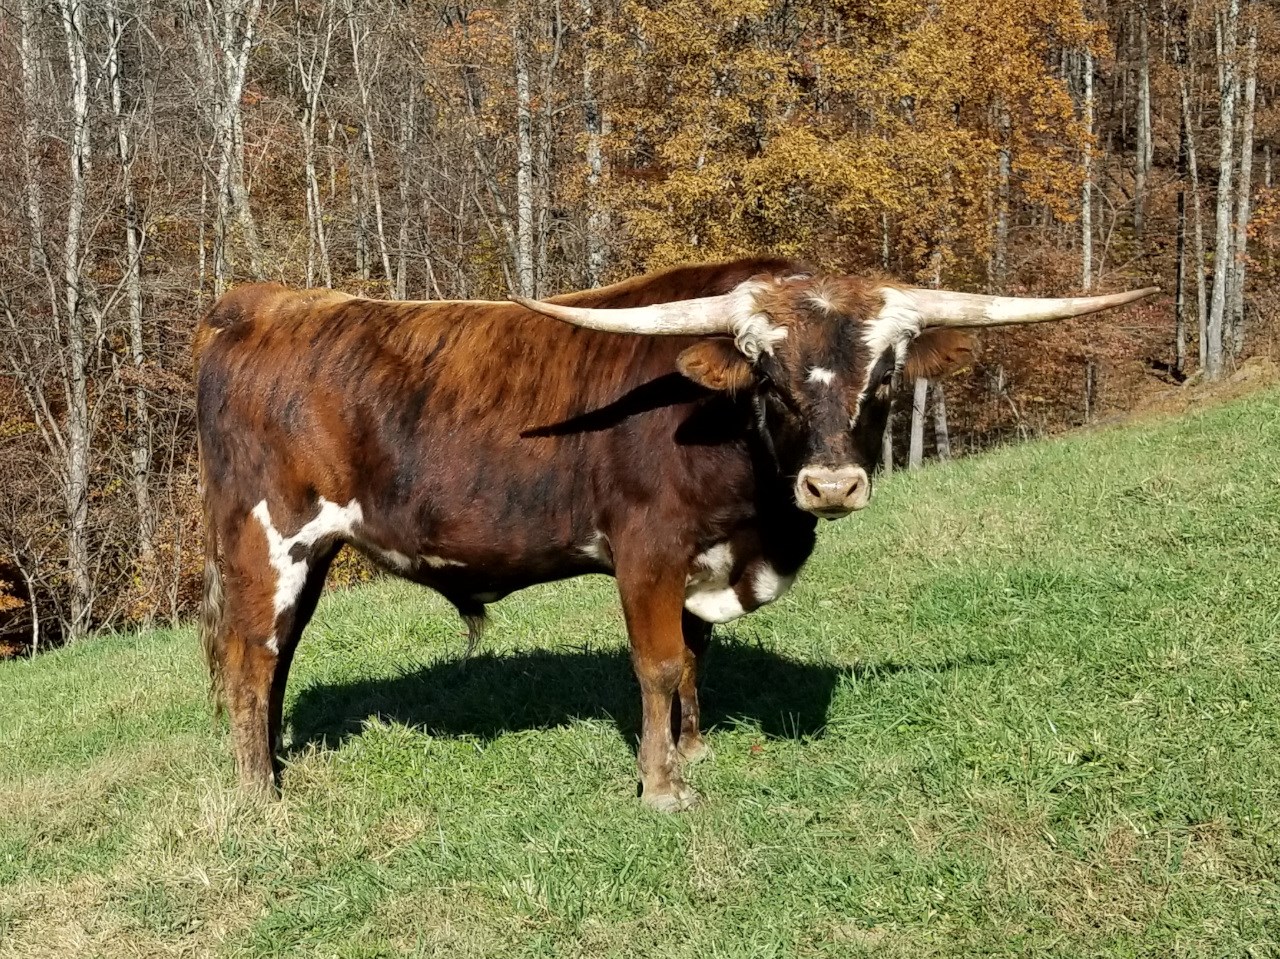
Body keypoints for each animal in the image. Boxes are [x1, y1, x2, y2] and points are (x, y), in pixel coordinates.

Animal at [195, 258, 1155, 811]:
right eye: (766, 374)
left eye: (882, 376)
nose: (833, 484)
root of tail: (260, 303)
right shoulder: (646, 552)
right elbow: (658, 665)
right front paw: (663, 787)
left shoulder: (705, 559)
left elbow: (695, 658)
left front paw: (696, 747)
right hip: (267, 542)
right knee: (249, 660)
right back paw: (258, 797)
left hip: (307, 556)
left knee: (276, 659)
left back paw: (271, 767)